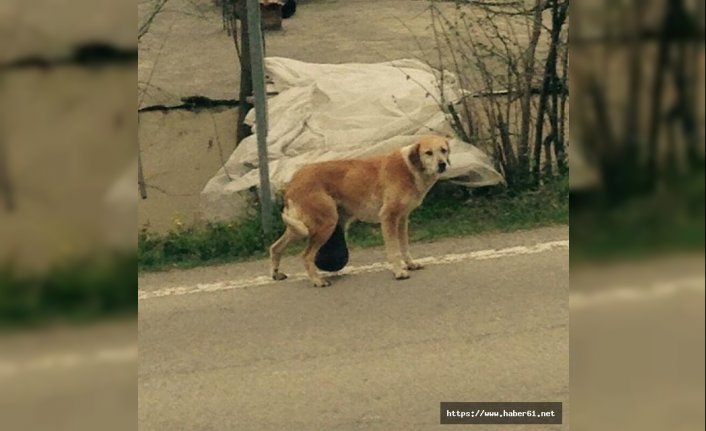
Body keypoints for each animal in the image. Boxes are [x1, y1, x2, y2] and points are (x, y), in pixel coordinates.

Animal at [266, 137, 448, 288]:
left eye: (444, 150)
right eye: (428, 153)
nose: (443, 164)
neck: (410, 168)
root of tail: (293, 181)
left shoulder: (402, 219)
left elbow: (404, 246)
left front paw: (410, 264)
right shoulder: (388, 218)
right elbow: (393, 250)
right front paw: (398, 272)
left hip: (299, 228)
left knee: (275, 247)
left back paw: (276, 274)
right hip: (325, 223)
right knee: (306, 256)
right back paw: (318, 281)